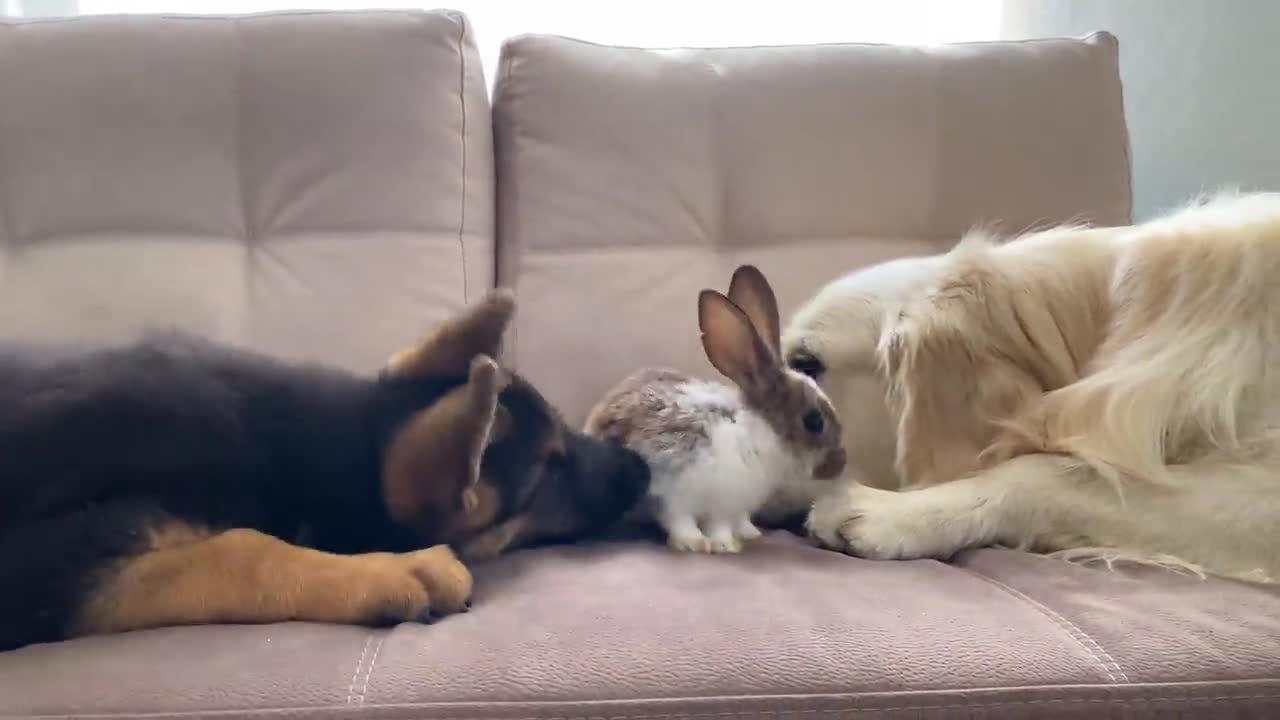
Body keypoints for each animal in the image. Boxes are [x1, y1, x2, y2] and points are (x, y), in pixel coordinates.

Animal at [0, 288, 650, 648]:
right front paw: (393, 570)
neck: (336, 441)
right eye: (550, 472)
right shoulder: (43, 560)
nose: (642, 467)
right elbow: (241, 548)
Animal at [586, 266, 844, 550]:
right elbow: (681, 520)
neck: (756, 435)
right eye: (814, 421)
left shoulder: (727, 507)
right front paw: (697, 544)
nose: (839, 462)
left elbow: (721, 524)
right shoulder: (673, 493)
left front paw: (729, 542)